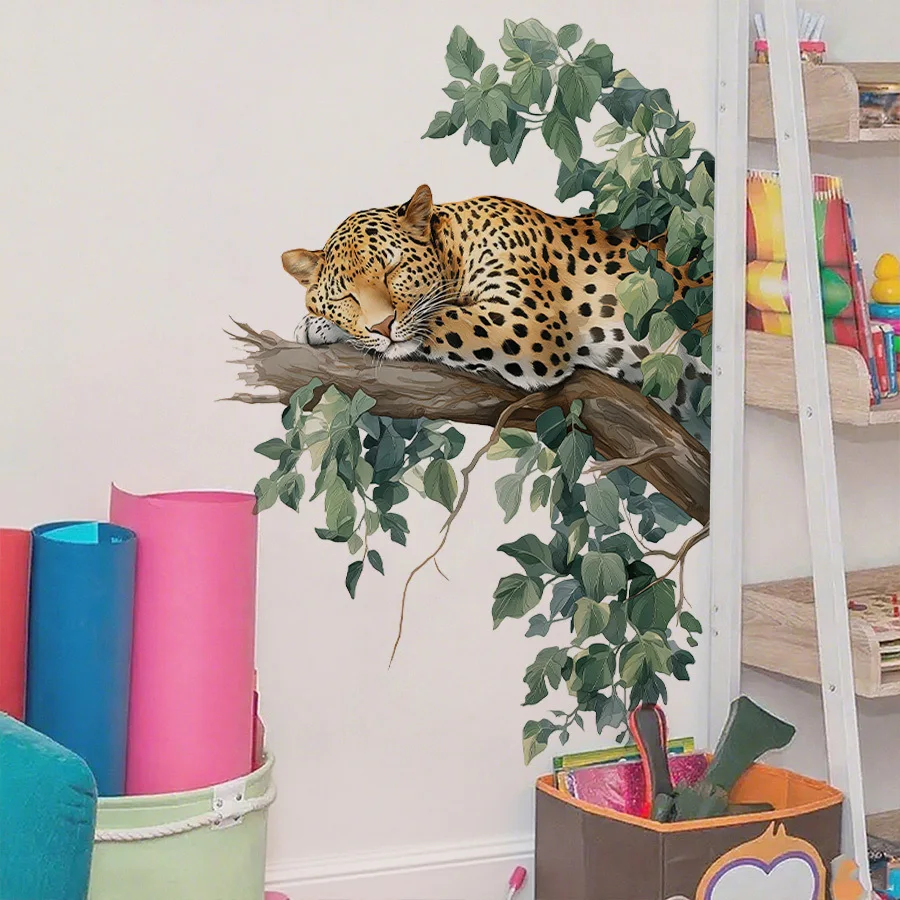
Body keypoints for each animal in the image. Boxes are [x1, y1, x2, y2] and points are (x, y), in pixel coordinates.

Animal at [282, 184, 710, 440]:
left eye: (393, 269)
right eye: (346, 296)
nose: (383, 325)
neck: (454, 244)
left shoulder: (525, 323)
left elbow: (440, 318)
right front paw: (318, 324)